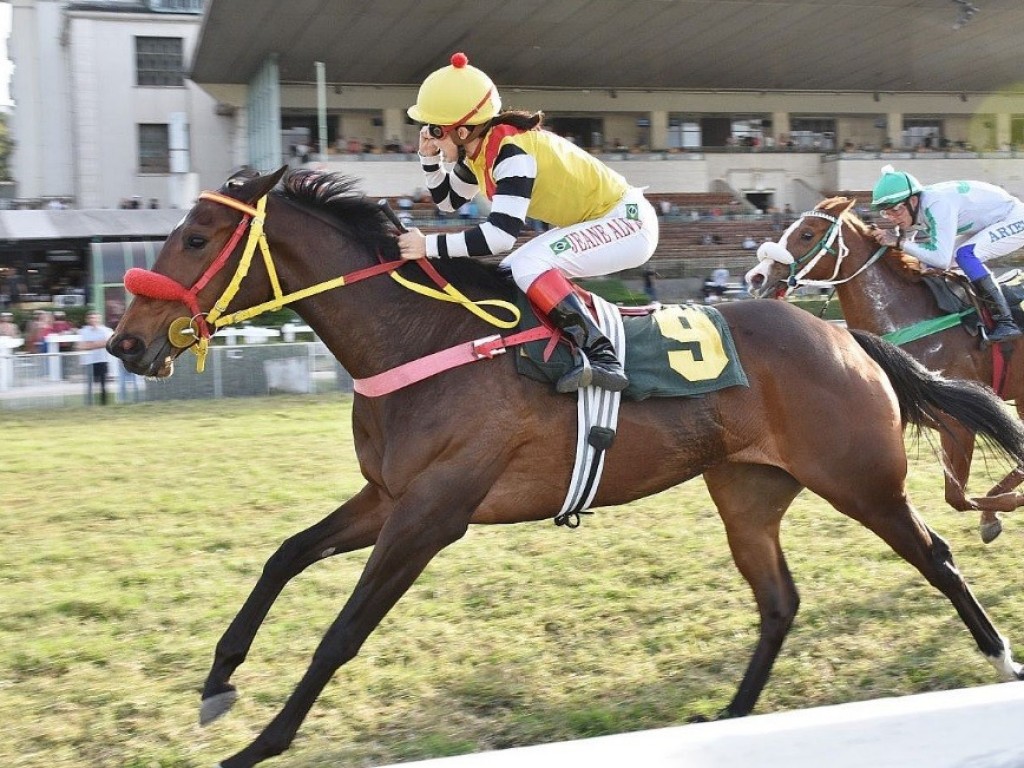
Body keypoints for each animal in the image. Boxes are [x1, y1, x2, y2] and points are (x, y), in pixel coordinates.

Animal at [745, 196, 1024, 548]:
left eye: (807, 234)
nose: (756, 278)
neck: (909, 319)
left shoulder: (959, 423)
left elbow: (957, 497)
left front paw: (1000, 511)